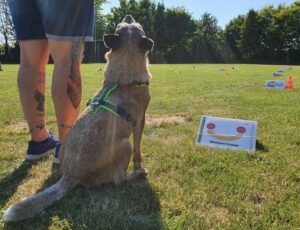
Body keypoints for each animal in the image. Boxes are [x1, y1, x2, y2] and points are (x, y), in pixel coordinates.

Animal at [4, 15, 155, 222]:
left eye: (129, 25)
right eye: (136, 25)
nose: (128, 16)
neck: (123, 76)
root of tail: (71, 174)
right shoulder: (140, 121)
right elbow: (138, 150)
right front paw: (139, 163)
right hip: (125, 144)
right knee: (120, 180)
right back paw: (138, 174)